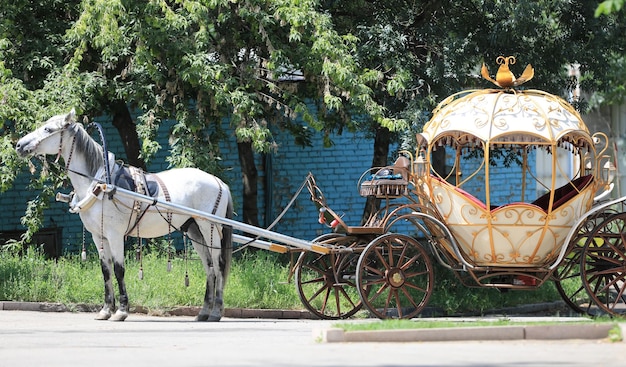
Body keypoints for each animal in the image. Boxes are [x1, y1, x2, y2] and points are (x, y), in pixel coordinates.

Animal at [15, 110, 233, 322]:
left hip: (210, 228)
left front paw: (121, 311)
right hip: (194, 230)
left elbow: (119, 270)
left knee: (218, 265)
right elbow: (106, 270)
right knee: (209, 267)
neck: (99, 184)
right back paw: (204, 312)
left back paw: (216, 312)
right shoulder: (98, 236)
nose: (19, 145)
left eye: (48, 129)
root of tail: (220, 183)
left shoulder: (115, 235)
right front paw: (105, 310)